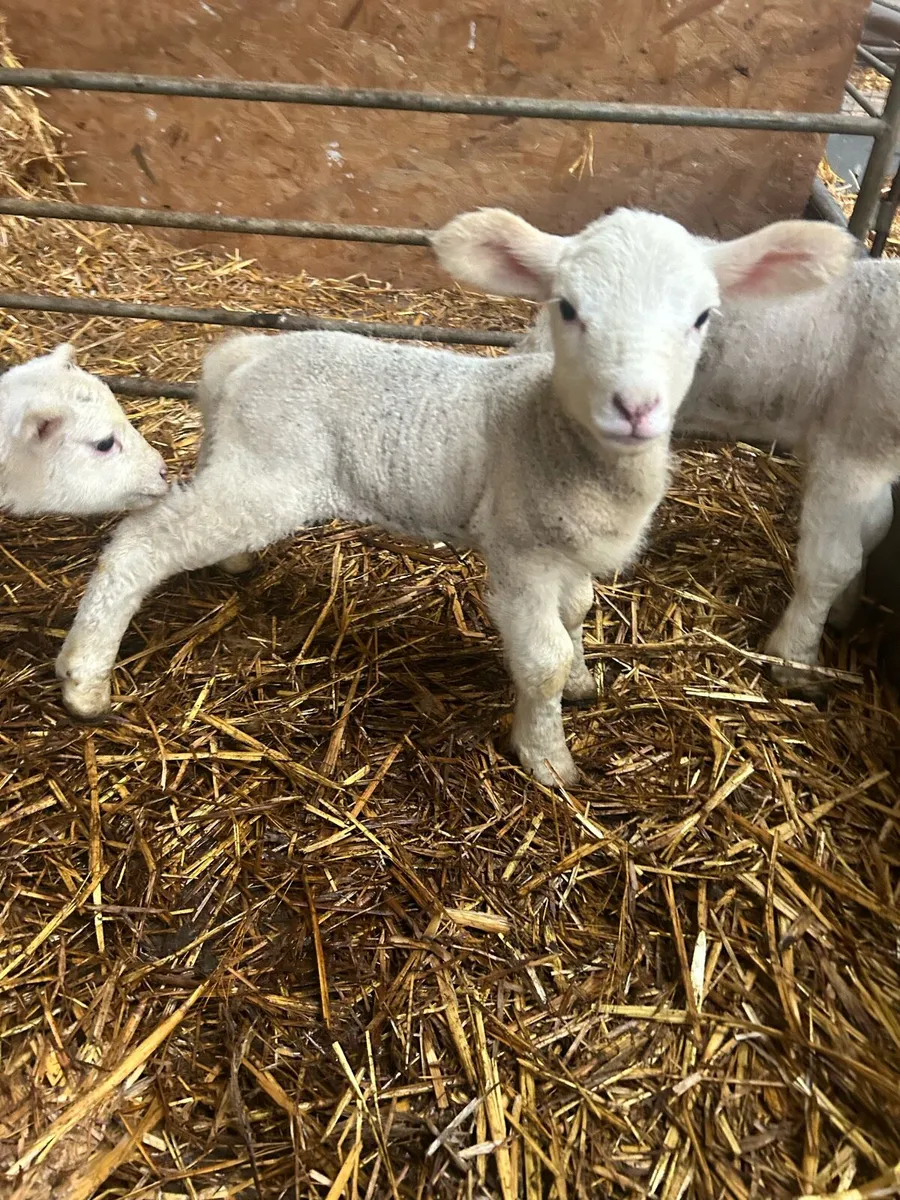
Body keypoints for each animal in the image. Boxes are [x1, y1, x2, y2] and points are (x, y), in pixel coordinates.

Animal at [54, 207, 854, 786]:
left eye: (701, 318)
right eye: (567, 309)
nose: (636, 407)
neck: (554, 434)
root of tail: (244, 355)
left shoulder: (565, 550)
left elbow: (577, 614)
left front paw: (584, 682)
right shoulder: (520, 547)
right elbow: (542, 655)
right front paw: (548, 759)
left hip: (245, 463)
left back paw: (231, 568)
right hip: (269, 475)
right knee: (143, 541)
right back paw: (85, 678)